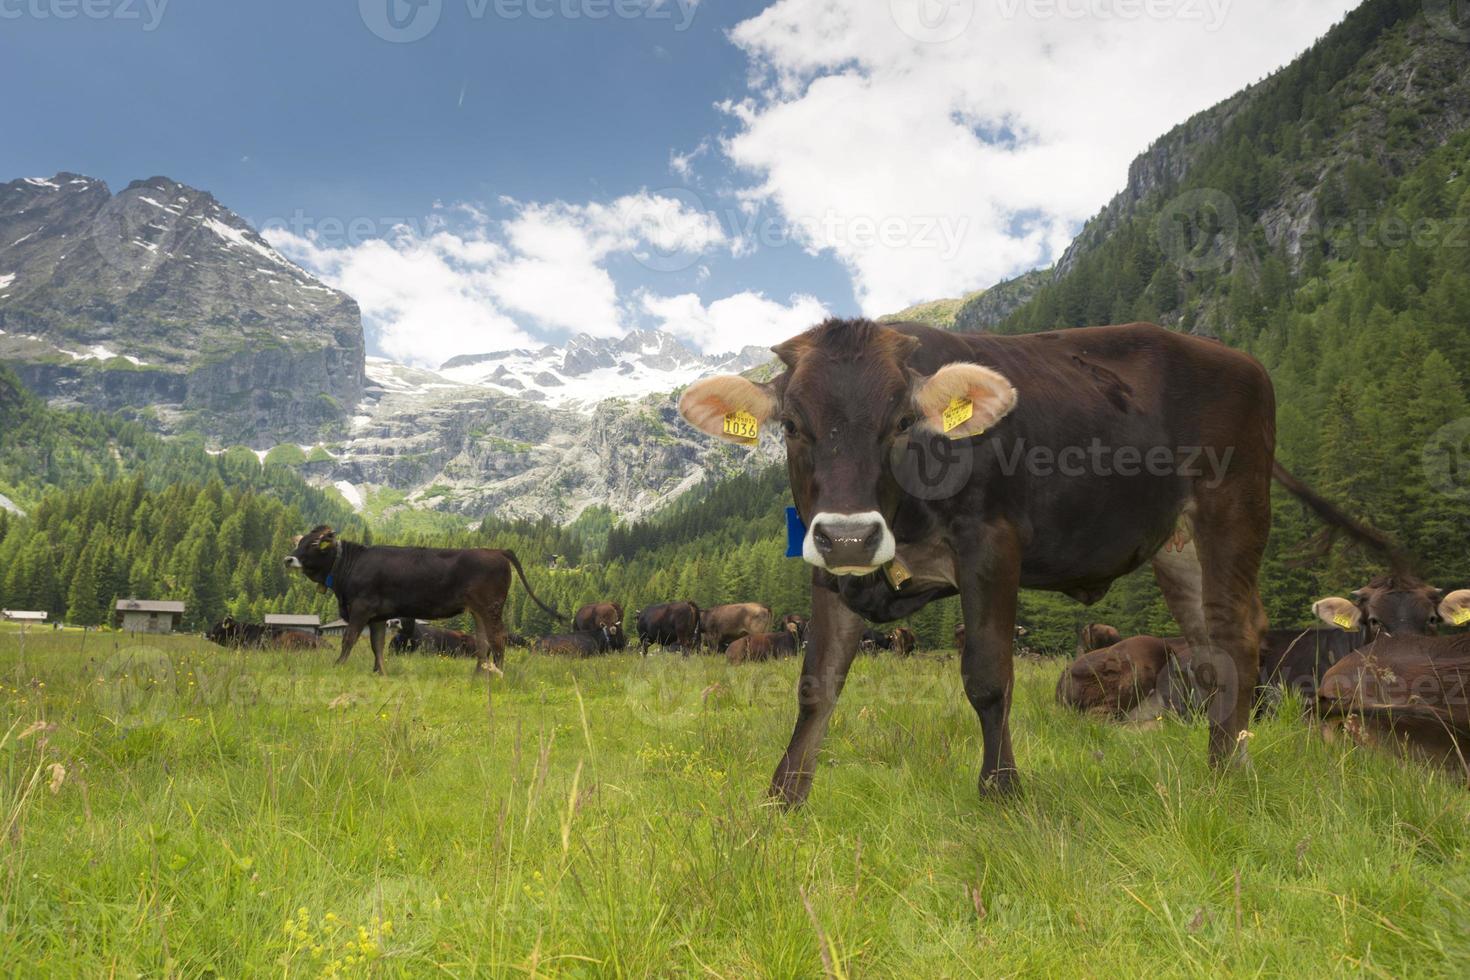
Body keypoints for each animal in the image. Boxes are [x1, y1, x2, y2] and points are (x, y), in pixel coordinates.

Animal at [285, 525, 561, 678]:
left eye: (314, 543)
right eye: (299, 542)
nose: (289, 559)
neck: (349, 566)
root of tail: (495, 551)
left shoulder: (361, 608)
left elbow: (349, 638)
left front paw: (338, 665)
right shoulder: (378, 616)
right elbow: (377, 645)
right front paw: (380, 673)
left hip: (491, 607)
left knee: (498, 638)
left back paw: (496, 674)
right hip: (478, 610)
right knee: (483, 642)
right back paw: (478, 674)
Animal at [673, 318, 1387, 811]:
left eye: (901, 421)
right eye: (792, 425)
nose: (851, 535)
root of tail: (1235, 357)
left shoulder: (992, 544)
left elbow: (988, 678)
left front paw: (1001, 791)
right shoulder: (829, 564)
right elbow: (817, 683)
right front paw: (783, 799)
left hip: (1232, 512)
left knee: (1238, 637)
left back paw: (1228, 773)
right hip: (1178, 547)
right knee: (1212, 647)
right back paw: (1219, 765)